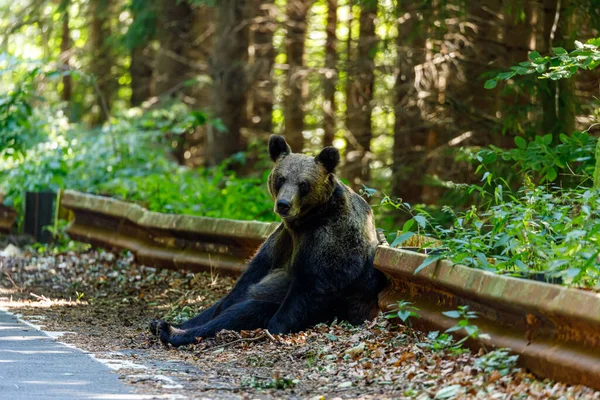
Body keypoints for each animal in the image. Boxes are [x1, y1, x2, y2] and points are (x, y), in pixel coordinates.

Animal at [152, 135, 386, 346]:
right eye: (281, 178)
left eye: (303, 183)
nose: (283, 204)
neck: (305, 221)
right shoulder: (282, 241)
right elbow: (249, 278)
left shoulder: (330, 238)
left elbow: (313, 286)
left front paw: (275, 327)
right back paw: (163, 323)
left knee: (247, 311)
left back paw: (172, 332)